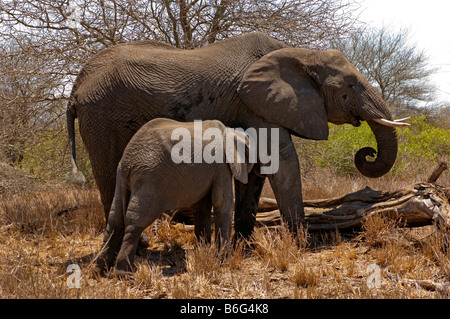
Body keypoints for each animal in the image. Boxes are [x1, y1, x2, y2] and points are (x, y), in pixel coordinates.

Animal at [66, 32, 408, 240]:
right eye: (350, 87)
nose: (366, 152)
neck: (300, 53)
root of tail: (77, 85)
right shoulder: (255, 104)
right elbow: (283, 162)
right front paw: (301, 245)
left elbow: (257, 168)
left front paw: (245, 244)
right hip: (102, 114)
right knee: (110, 174)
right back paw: (140, 246)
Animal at [94, 119, 256, 276]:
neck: (231, 131)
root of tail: (128, 160)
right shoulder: (221, 166)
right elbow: (222, 204)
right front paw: (225, 262)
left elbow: (202, 207)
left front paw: (202, 253)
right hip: (150, 178)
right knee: (135, 222)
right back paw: (123, 273)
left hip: (121, 177)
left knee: (115, 220)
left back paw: (100, 270)